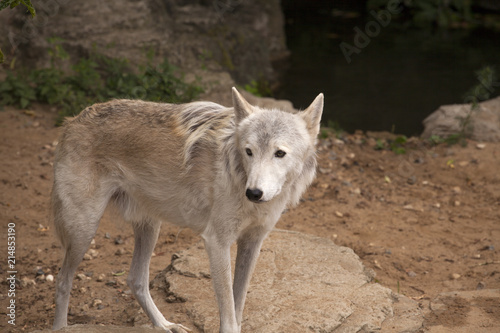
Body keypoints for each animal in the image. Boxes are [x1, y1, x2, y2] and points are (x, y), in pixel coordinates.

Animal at [51, 87, 324, 330]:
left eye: (280, 153)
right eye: (249, 151)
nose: (254, 193)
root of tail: (73, 120)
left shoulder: (253, 242)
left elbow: (238, 306)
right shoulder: (217, 242)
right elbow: (228, 315)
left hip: (150, 227)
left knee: (135, 280)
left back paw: (164, 325)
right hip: (84, 230)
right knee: (63, 281)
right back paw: (60, 327)